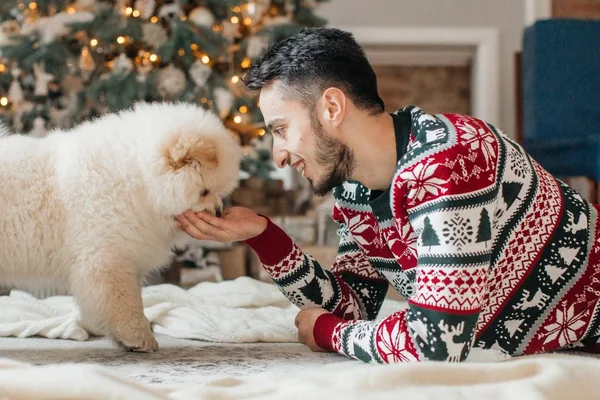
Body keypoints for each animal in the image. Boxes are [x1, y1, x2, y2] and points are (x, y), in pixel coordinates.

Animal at [1, 101, 244, 352]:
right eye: (204, 192)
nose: (218, 211)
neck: (140, 181)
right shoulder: (108, 258)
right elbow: (124, 301)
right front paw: (140, 338)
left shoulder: (128, 256)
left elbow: (133, 296)